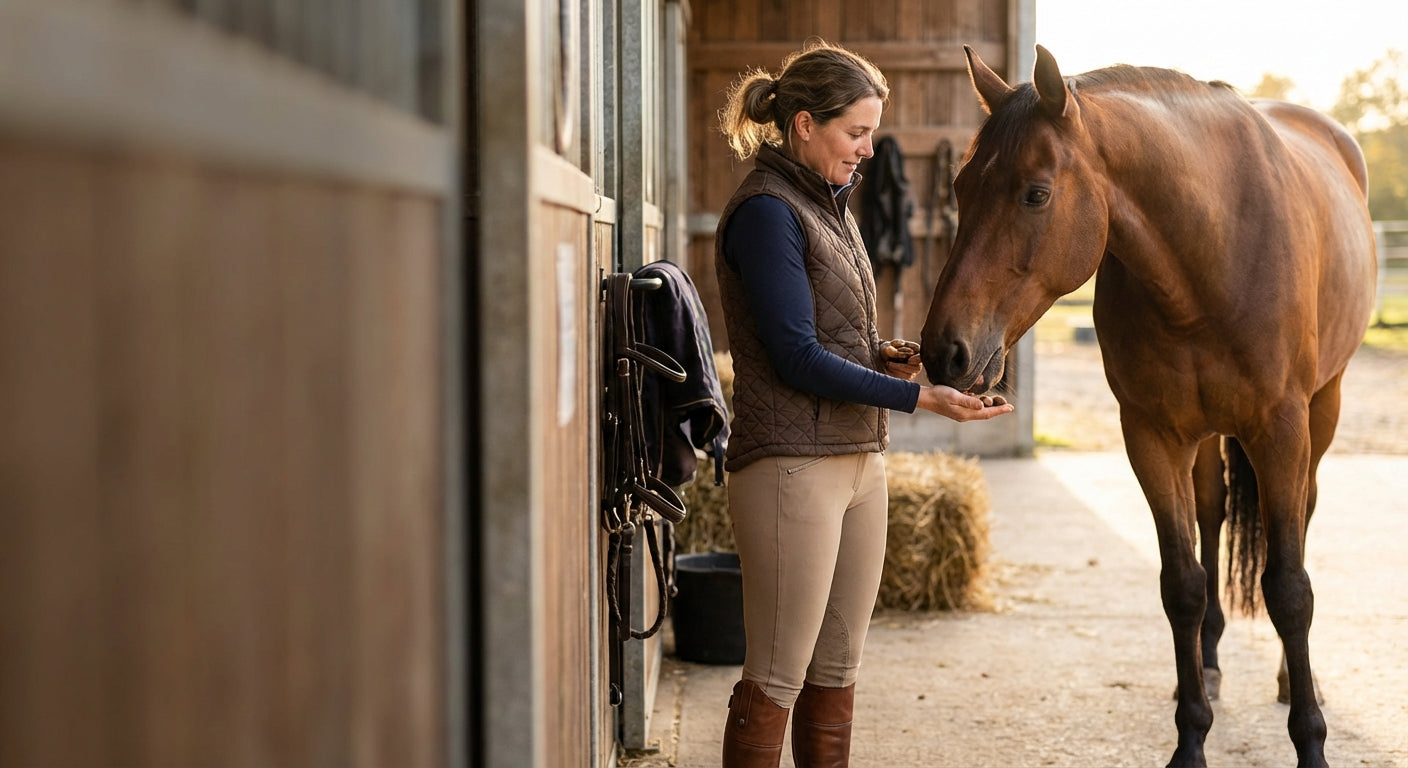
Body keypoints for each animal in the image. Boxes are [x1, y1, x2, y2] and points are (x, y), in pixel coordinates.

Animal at [919, 45, 1377, 768]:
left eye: (1036, 193)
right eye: (960, 189)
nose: (945, 353)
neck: (1212, 250)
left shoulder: (1281, 431)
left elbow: (1288, 588)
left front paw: (1310, 742)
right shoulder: (1153, 436)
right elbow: (1182, 584)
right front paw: (1190, 738)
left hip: (1319, 414)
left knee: (1300, 519)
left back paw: (1288, 678)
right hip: (1207, 437)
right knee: (1214, 516)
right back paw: (1211, 665)